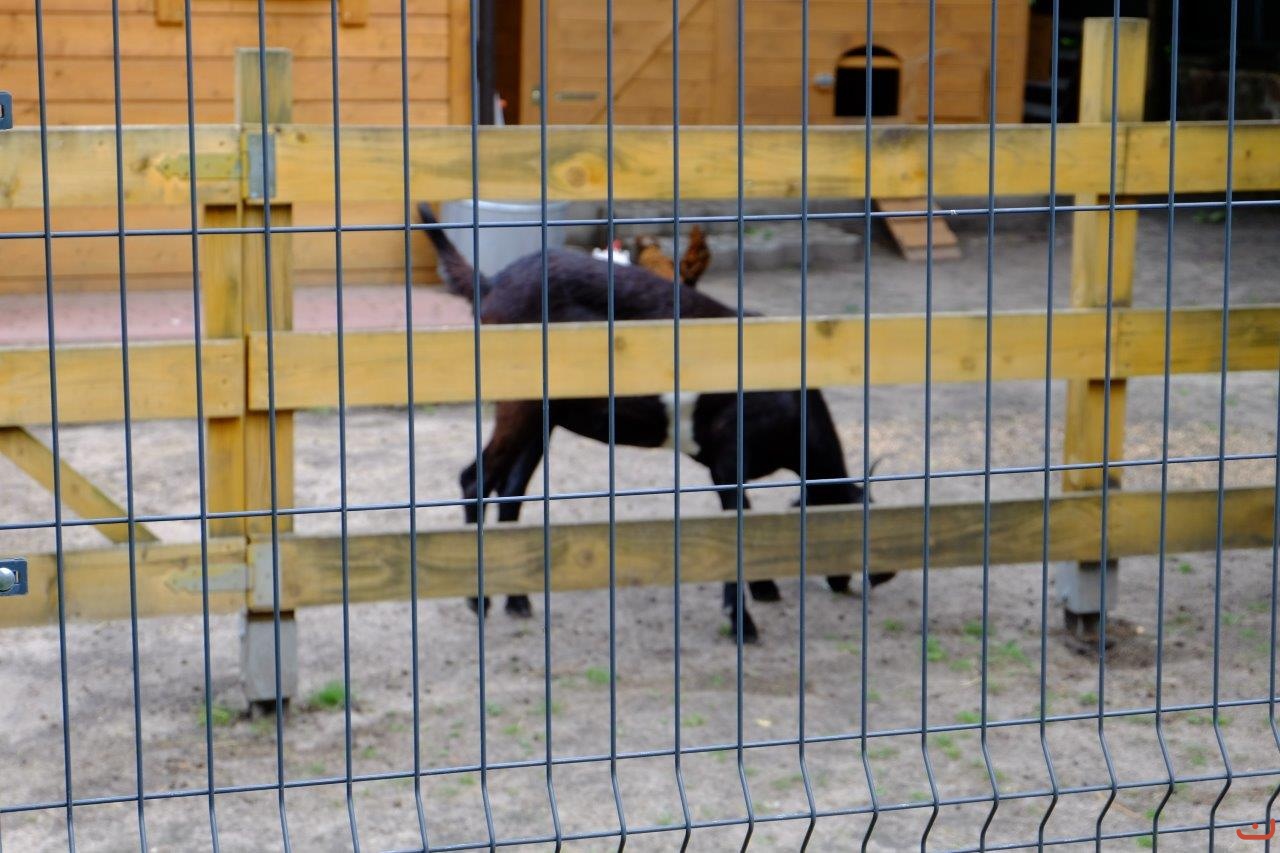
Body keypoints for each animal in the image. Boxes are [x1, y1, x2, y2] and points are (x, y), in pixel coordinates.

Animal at [420, 203, 891, 641]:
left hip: (544, 415)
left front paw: (759, 592)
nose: (875, 578)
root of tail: (491, 284)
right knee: (476, 479)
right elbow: (735, 531)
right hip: (519, 402)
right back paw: (478, 601)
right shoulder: (729, 462)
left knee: (511, 490)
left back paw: (518, 601)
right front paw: (744, 623)